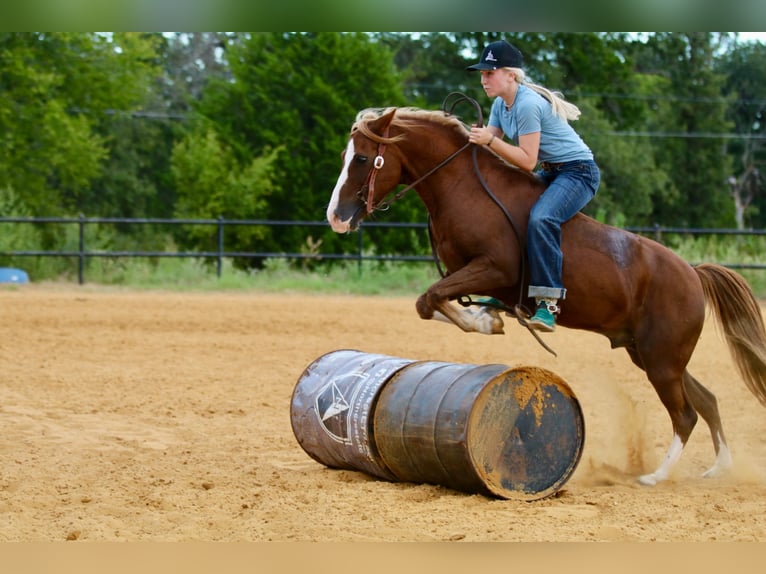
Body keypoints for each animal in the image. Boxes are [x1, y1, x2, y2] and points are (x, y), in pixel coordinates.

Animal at [325, 104, 766, 486]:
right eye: (345, 156)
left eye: (362, 158)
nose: (336, 217)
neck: (466, 188)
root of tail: (691, 273)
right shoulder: (468, 275)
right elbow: (428, 302)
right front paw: (489, 317)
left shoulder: (494, 269)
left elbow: (432, 298)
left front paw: (489, 320)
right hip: (652, 354)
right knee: (707, 400)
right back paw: (719, 468)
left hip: (661, 359)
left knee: (686, 414)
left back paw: (656, 476)